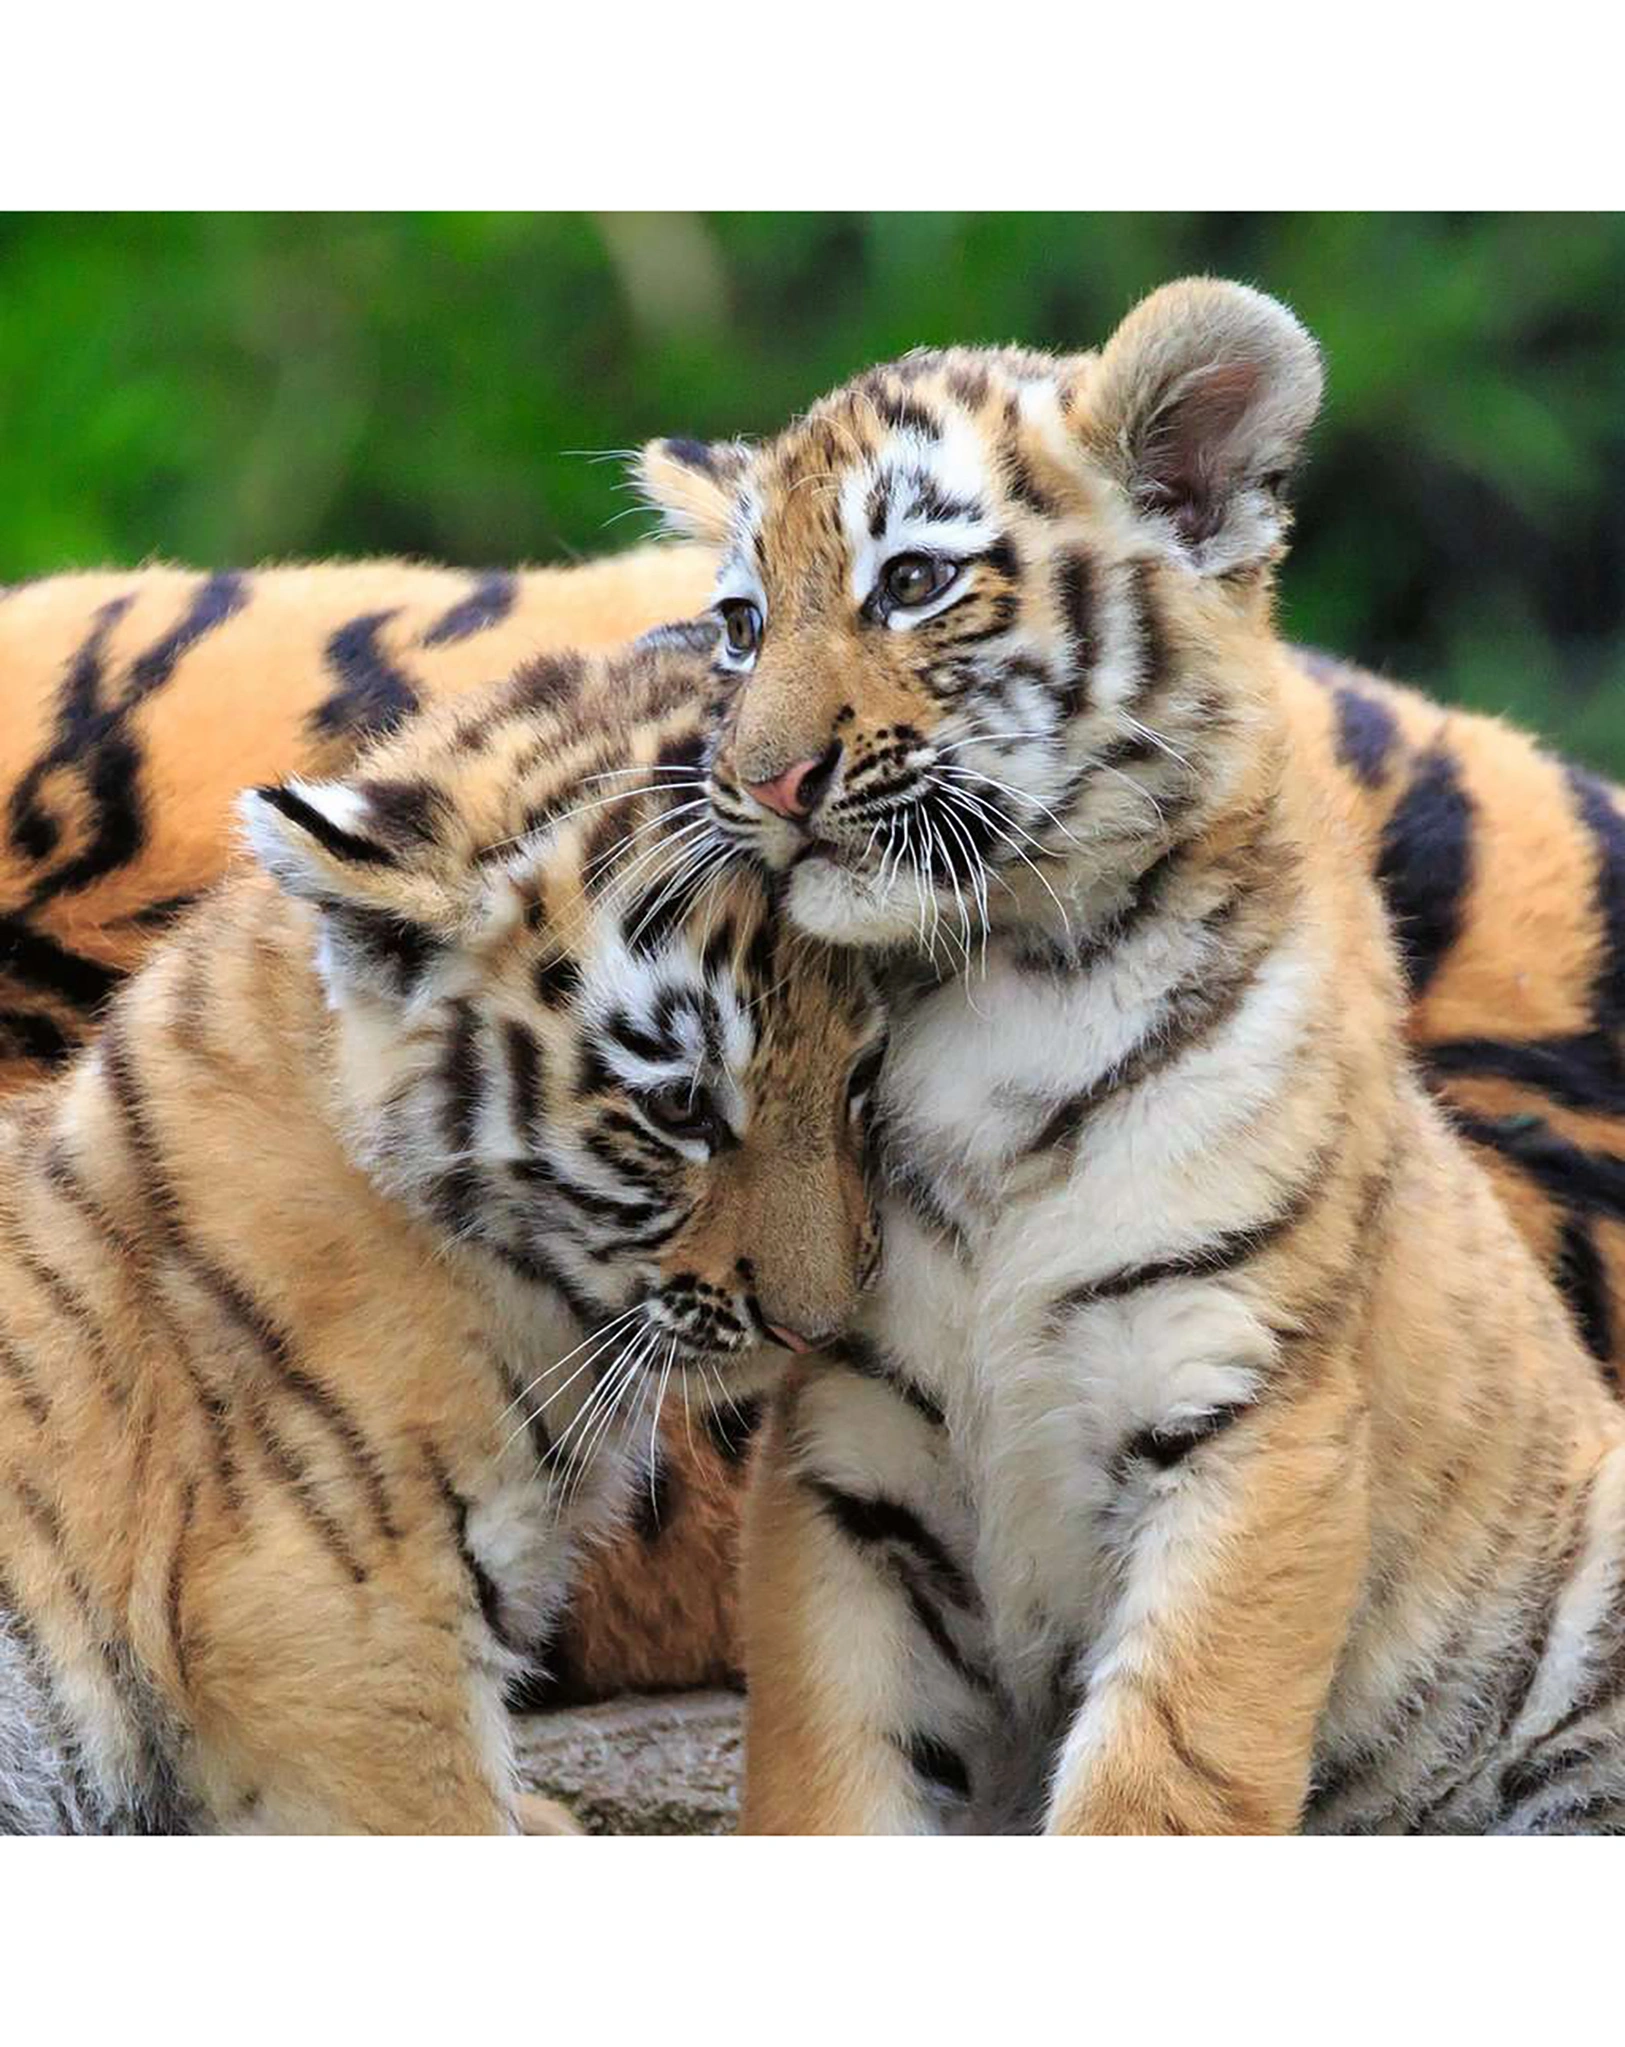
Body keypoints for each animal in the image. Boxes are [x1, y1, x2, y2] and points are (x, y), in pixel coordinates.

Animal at [635, 277, 1625, 1833]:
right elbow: (829, 1775)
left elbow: (1165, 1773)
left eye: (909, 584)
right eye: (739, 624)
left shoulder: (1247, 1407)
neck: (988, 983)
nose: (759, 780)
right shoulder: (845, 1460)